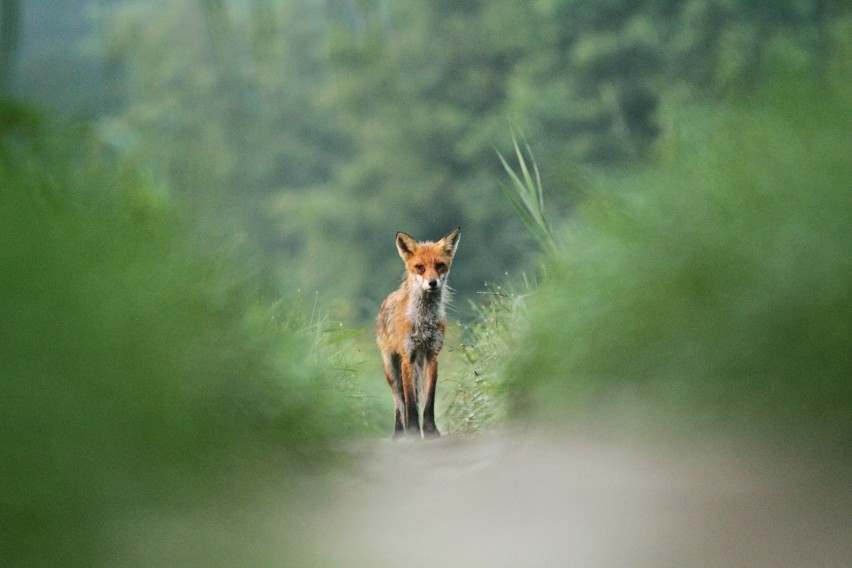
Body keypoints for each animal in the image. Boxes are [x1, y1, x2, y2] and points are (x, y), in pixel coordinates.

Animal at [376, 226, 462, 440]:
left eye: (440, 266)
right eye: (419, 267)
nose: (432, 283)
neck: (423, 321)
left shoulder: (432, 355)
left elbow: (428, 401)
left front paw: (430, 431)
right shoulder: (408, 356)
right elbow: (410, 403)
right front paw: (414, 431)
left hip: (419, 366)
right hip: (391, 368)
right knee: (399, 401)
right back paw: (399, 432)